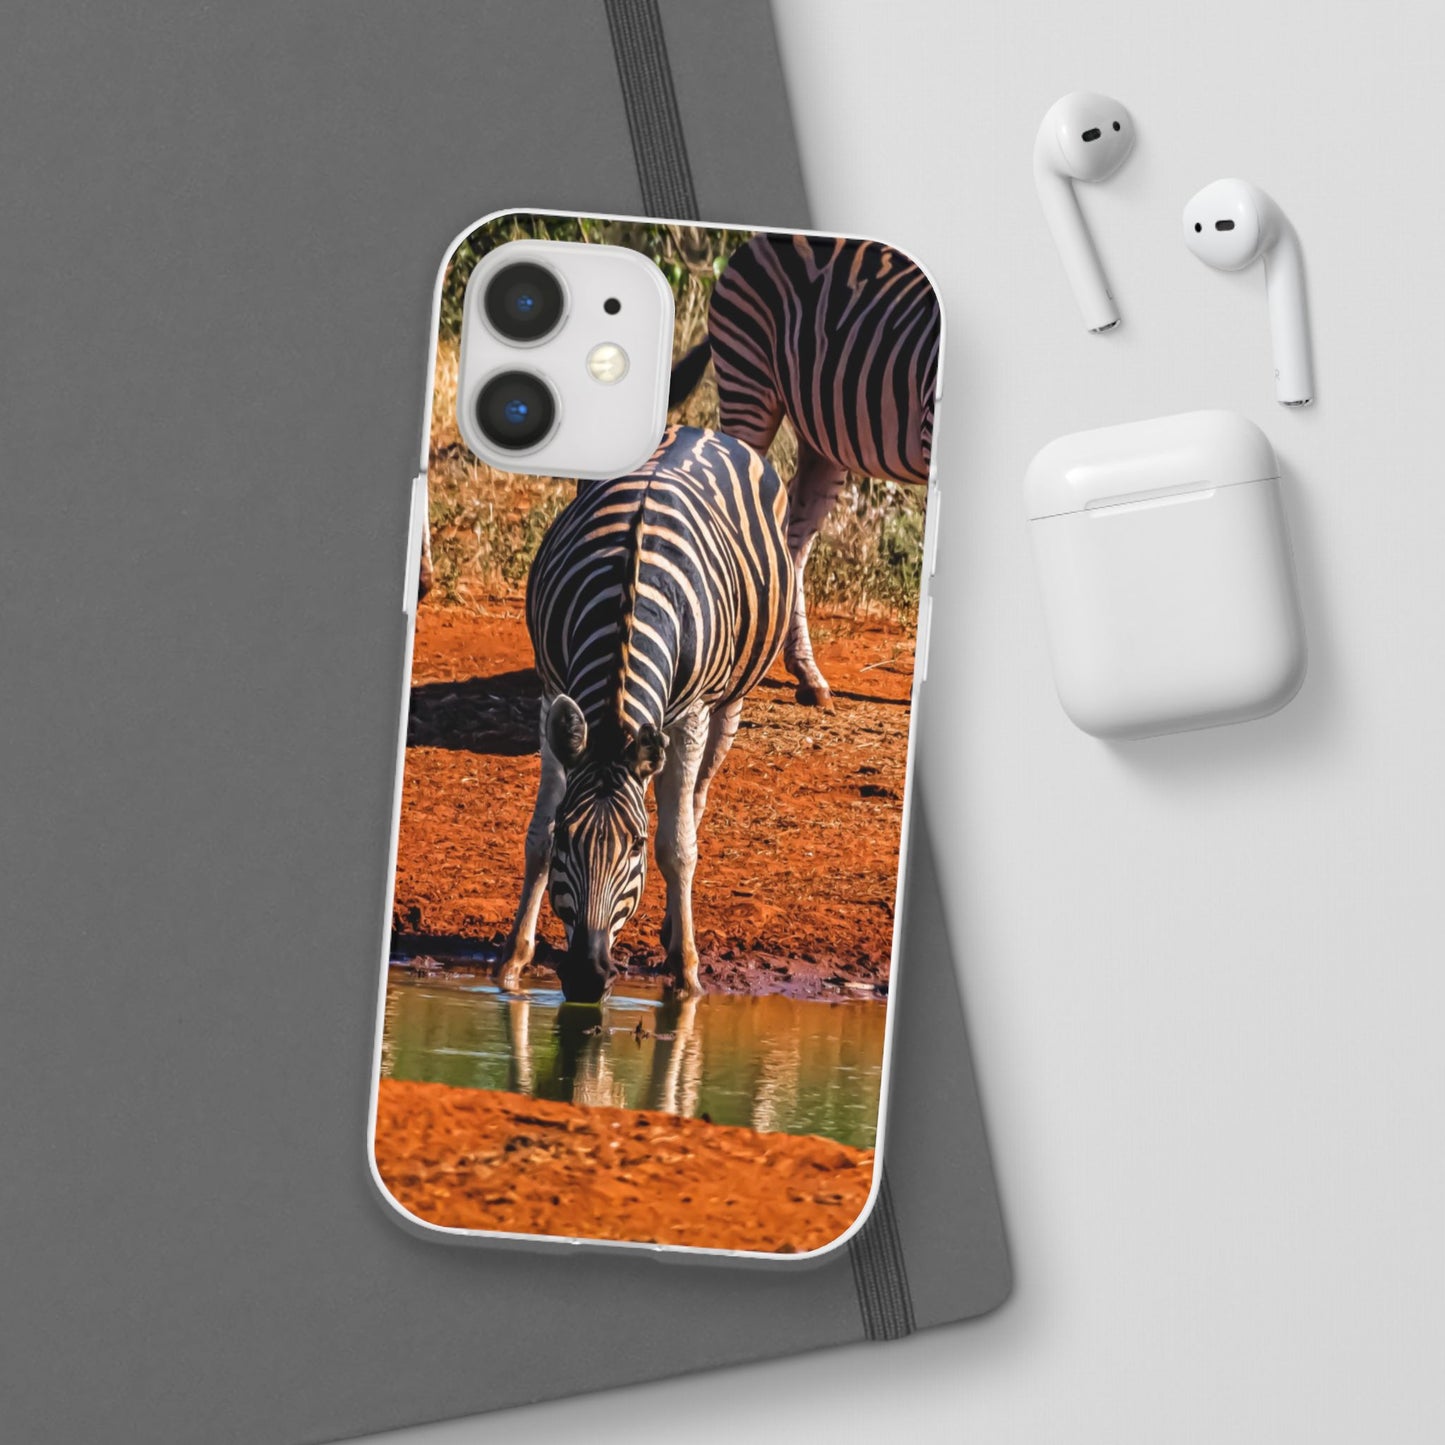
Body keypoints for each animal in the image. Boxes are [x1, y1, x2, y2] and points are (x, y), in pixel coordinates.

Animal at [497, 425, 794, 1003]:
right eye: (569, 838)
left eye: (633, 846)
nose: (587, 977)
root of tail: (698, 429)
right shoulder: (553, 693)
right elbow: (538, 833)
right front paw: (513, 962)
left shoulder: (692, 714)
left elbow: (677, 848)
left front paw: (687, 972)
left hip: (728, 701)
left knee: (695, 801)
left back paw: (676, 929)